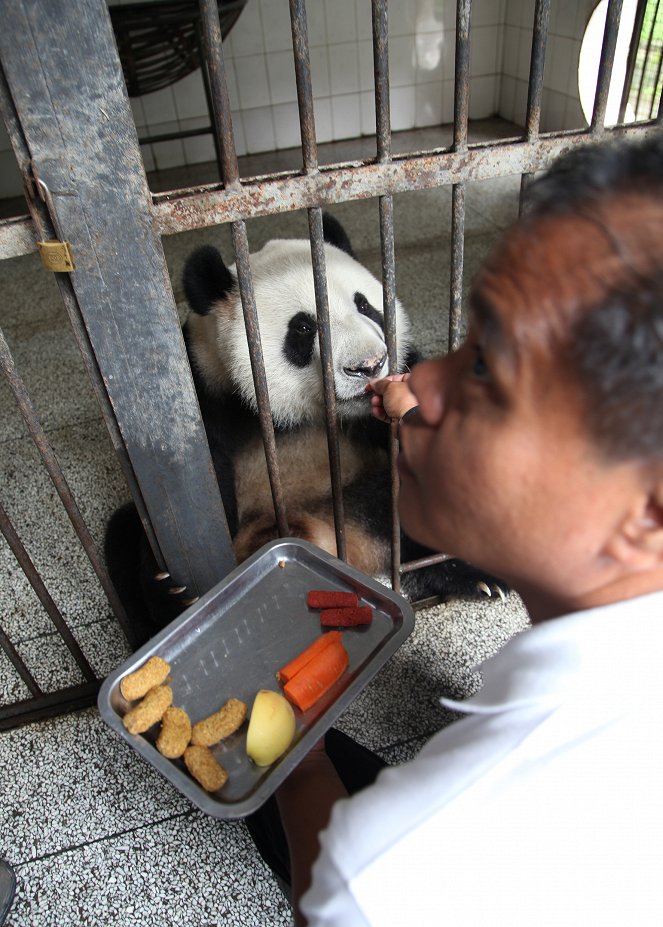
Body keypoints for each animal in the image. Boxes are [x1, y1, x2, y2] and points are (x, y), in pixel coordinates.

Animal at [106, 212, 506, 644]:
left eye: (365, 306)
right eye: (303, 328)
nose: (368, 365)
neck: (295, 413)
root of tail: (325, 538)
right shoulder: (205, 390)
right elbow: (193, 485)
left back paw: (471, 576)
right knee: (123, 538)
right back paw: (172, 600)